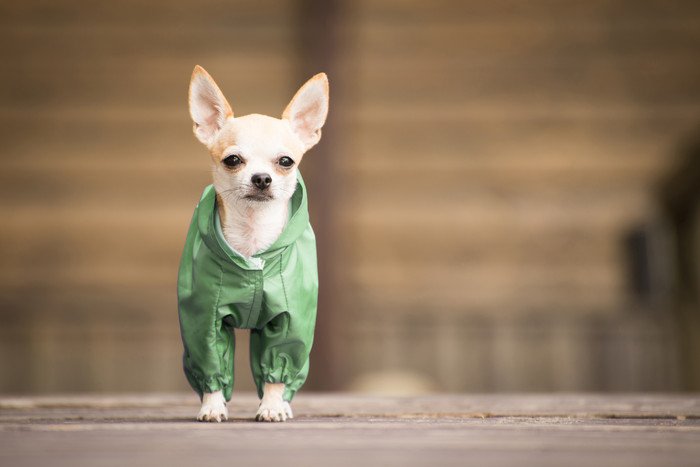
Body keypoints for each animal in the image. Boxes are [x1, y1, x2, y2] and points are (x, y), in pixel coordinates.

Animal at [175, 65, 328, 424]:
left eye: (286, 161)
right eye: (233, 160)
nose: (261, 178)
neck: (252, 240)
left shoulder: (290, 321)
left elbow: (276, 368)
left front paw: (272, 405)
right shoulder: (205, 321)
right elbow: (212, 364)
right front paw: (212, 405)